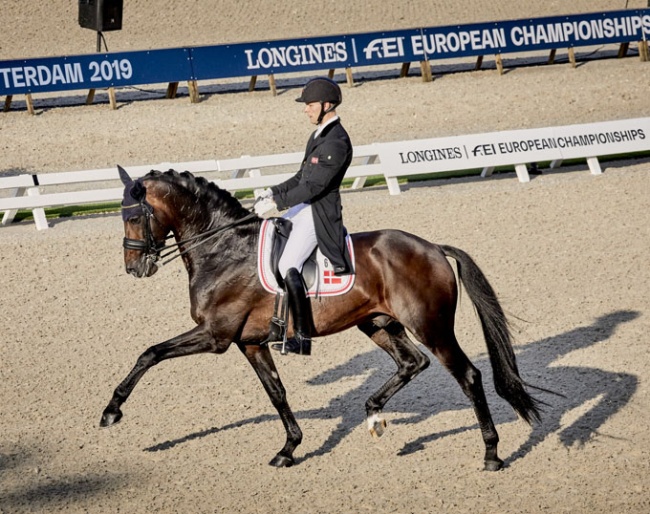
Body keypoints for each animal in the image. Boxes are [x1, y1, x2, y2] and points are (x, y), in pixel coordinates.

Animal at [100, 165, 540, 468]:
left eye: (134, 216)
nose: (134, 268)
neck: (223, 249)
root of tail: (432, 247)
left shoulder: (214, 335)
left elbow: (150, 353)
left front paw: (111, 411)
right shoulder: (249, 343)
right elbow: (276, 393)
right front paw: (289, 448)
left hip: (431, 326)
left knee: (467, 376)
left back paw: (491, 454)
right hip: (378, 323)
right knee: (412, 362)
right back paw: (373, 414)